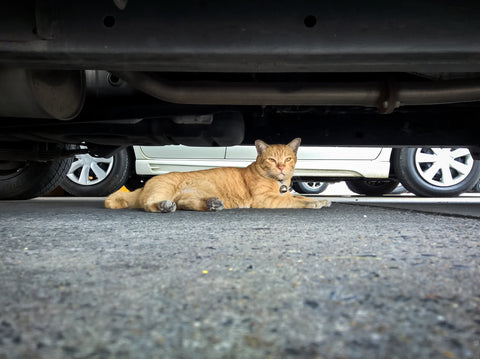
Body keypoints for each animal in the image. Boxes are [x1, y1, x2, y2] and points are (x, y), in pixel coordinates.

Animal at [104, 137, 330, 211]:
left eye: (288, 159)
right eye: (272, 160)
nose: (282, 167)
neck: (279, 183)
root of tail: (144, 185)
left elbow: (300, 196)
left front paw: (322, 200)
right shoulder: (266, 199)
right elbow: (295, 201)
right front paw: (314, 203)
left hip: (186, 196)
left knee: (185, 203)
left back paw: (212, 204)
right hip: (165, 188)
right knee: (147, 204)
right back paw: (164, 206)